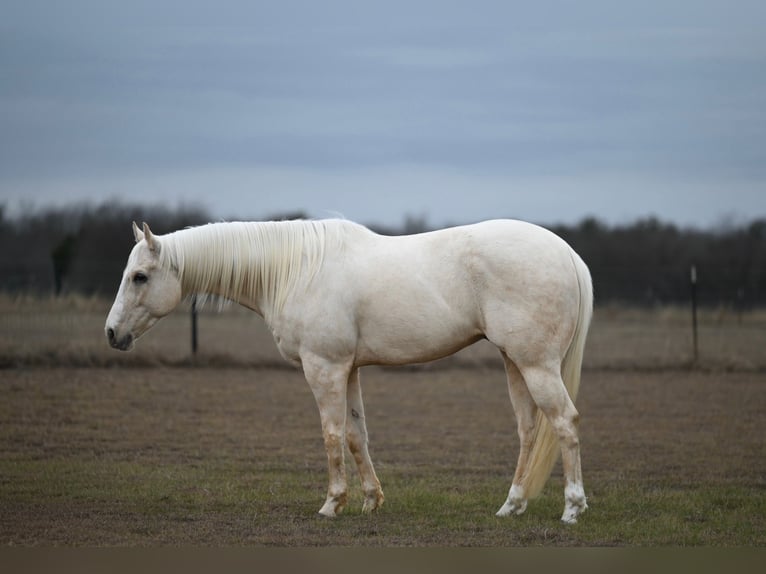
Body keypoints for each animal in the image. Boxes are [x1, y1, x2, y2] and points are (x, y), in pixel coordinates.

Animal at [105, 218, 593, 523]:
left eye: (140, 276)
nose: (112, 333)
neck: (294, 270)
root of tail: (567, 253)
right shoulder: (351, 369)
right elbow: (357, 435)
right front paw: (371, 500)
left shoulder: (325, 367)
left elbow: (331, 434)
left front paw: (332, 503)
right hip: (515, 362)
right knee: (529, 429)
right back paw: (512, 505)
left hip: (535, 364)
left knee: (565, 423)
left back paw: (572, 508)